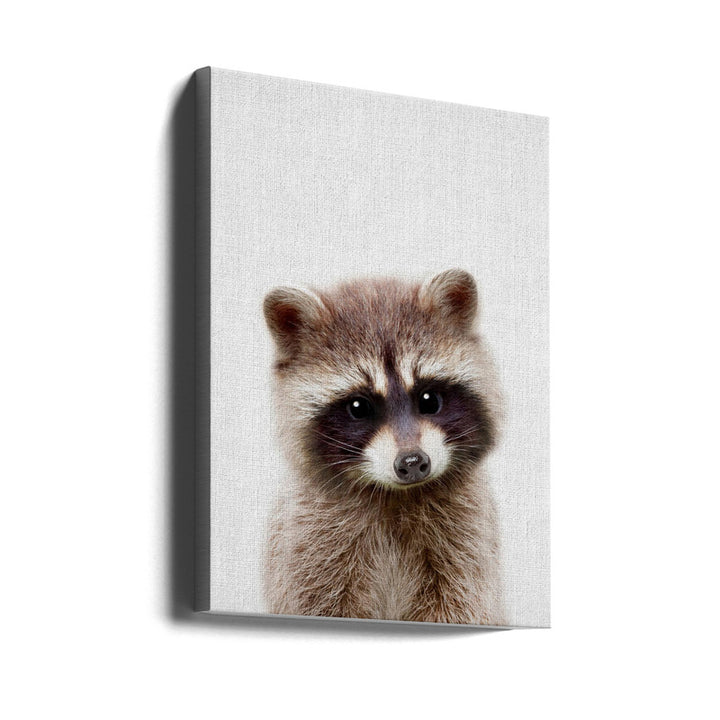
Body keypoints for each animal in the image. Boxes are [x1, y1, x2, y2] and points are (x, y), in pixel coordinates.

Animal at [263, 269, 505, 625]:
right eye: (358, 407)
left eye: (429, 400)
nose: (412, 462)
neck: (395, 495)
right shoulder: (309, 544)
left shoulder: (466, 541)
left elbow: (461, 603)